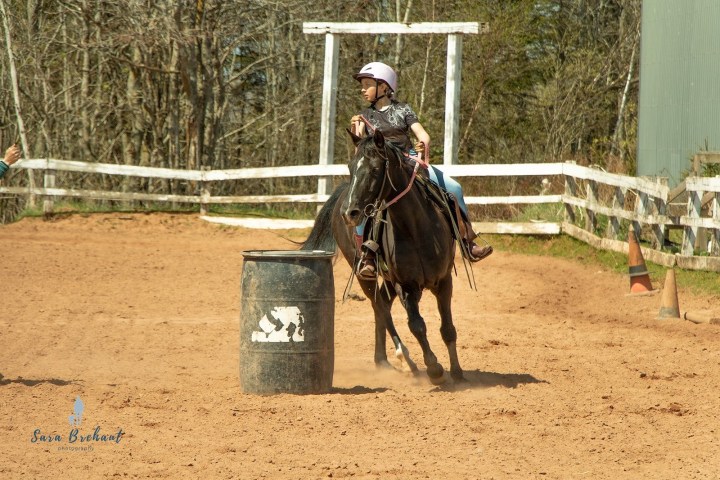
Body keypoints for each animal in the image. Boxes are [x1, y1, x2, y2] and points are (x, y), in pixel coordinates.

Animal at [302, 128, 464, 383]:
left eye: (376, 169)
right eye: (350, 167)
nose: (349, 212)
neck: (415, 229)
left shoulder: (444, 280)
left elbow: (447, 328)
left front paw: (457, 372)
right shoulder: (405, 285)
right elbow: (416, 325)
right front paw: (434, 367)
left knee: (383, 306)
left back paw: (384, 360)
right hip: (363, 273)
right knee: (379, 307)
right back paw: (405, 359)